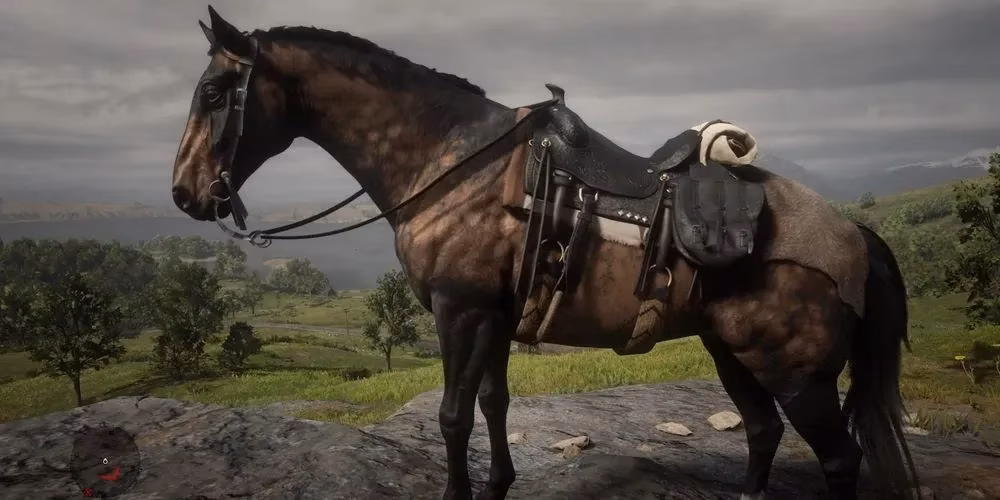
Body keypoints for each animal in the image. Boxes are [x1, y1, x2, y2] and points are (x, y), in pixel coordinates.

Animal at [170, 6, 919, 499]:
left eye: (212, 91)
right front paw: (499, 483)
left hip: (796, 372)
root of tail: (854, 234)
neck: (451, 163)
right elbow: (494, 402)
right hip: (733, 353)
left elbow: (452, 416)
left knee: (839, 460)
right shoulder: (496, 317)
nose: (183, 193)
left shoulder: (460, 310)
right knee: (762, 432)